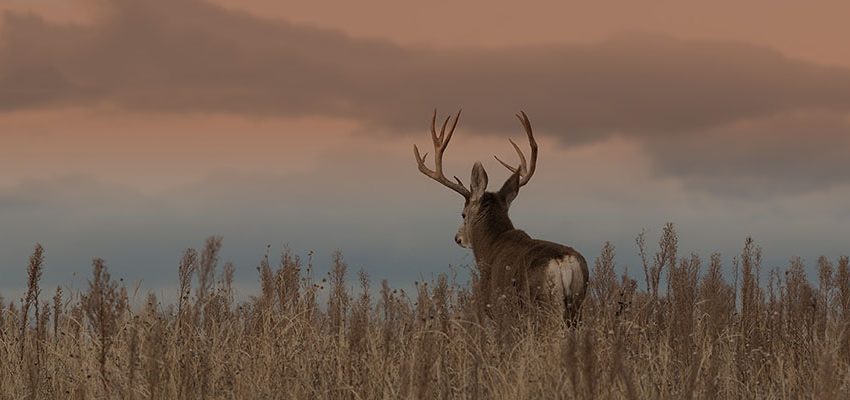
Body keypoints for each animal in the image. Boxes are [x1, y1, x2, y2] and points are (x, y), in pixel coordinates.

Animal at [414, 109, 589, 322]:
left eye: (463, 214)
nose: (458, 238)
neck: (489, 247)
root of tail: (565, 262)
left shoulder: (496, 307)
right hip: (578, 304)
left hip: (546, 303)